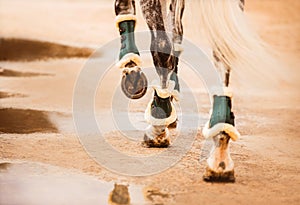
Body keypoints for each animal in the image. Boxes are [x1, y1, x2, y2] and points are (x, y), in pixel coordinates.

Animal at [113, 0, 266, 183]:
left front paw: (131, 71)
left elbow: (125, 8)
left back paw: (158, 125)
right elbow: (176, 34)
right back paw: (220, 152)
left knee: (161, 46)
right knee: (222, 54)